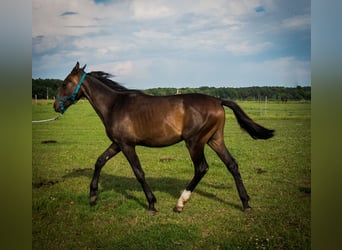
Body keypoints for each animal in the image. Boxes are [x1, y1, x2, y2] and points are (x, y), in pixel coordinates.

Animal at [54, 62, 276, 215]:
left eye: (65, 83)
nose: (56, 106)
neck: (115, 105)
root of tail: (218, 100)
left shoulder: (127, 145)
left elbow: (139, 172)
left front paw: (152, 204)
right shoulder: (117, 143)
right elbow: (100, 161)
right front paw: (92, 196)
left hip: (195, 143)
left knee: (202, 168)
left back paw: (180, 203)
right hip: (215, 140)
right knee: (232, 165)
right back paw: (245, 203)